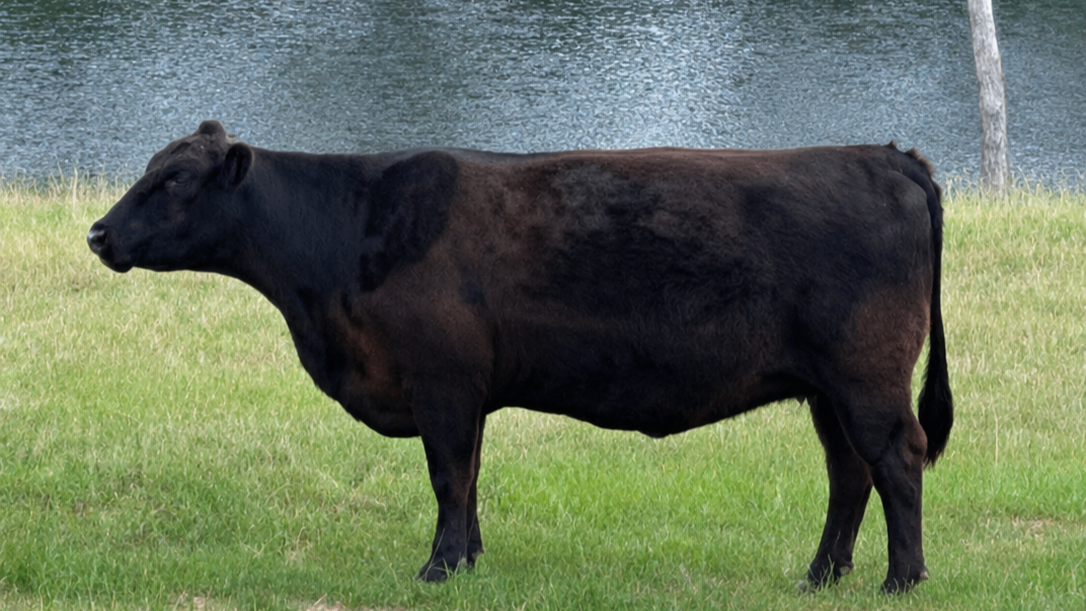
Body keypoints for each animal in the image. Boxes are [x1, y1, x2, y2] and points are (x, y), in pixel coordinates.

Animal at [88, 120, 952, 593]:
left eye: (174, 181)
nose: (97, 233)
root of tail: (889, 155)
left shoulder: (442, 381)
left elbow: (448, 475)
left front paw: (438, 568)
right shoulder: (466, 391)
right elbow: (469, 478)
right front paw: (468, 560)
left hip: (866, 376)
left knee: (897, 461)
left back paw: (902, 578)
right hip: (826, 387)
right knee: (849, 473)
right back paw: (822, 574)